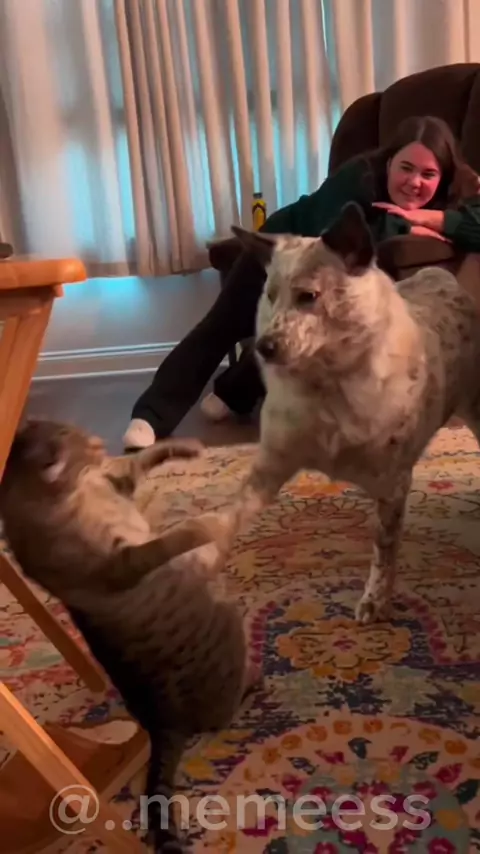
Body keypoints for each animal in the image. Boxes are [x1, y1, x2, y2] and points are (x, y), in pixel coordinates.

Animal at [0, 419, 257, 852]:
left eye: (78, 432)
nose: (100, 444)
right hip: (228, 636)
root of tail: (160, 725)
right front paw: (213, 522)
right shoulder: (122, 563)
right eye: (83, 446)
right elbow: (178, 535)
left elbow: (144, 460)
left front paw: (186, 447)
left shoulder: (120, 484)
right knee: (224, 713)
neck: (83, 491)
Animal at [214, 202, 480, 624]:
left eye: (308, 296)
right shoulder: (269, 467)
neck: (328, 388)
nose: (262, 348)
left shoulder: (393, 486)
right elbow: (226, 518)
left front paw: (376, 600)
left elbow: (384, 550)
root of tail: (440, 277)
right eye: (270, 295)